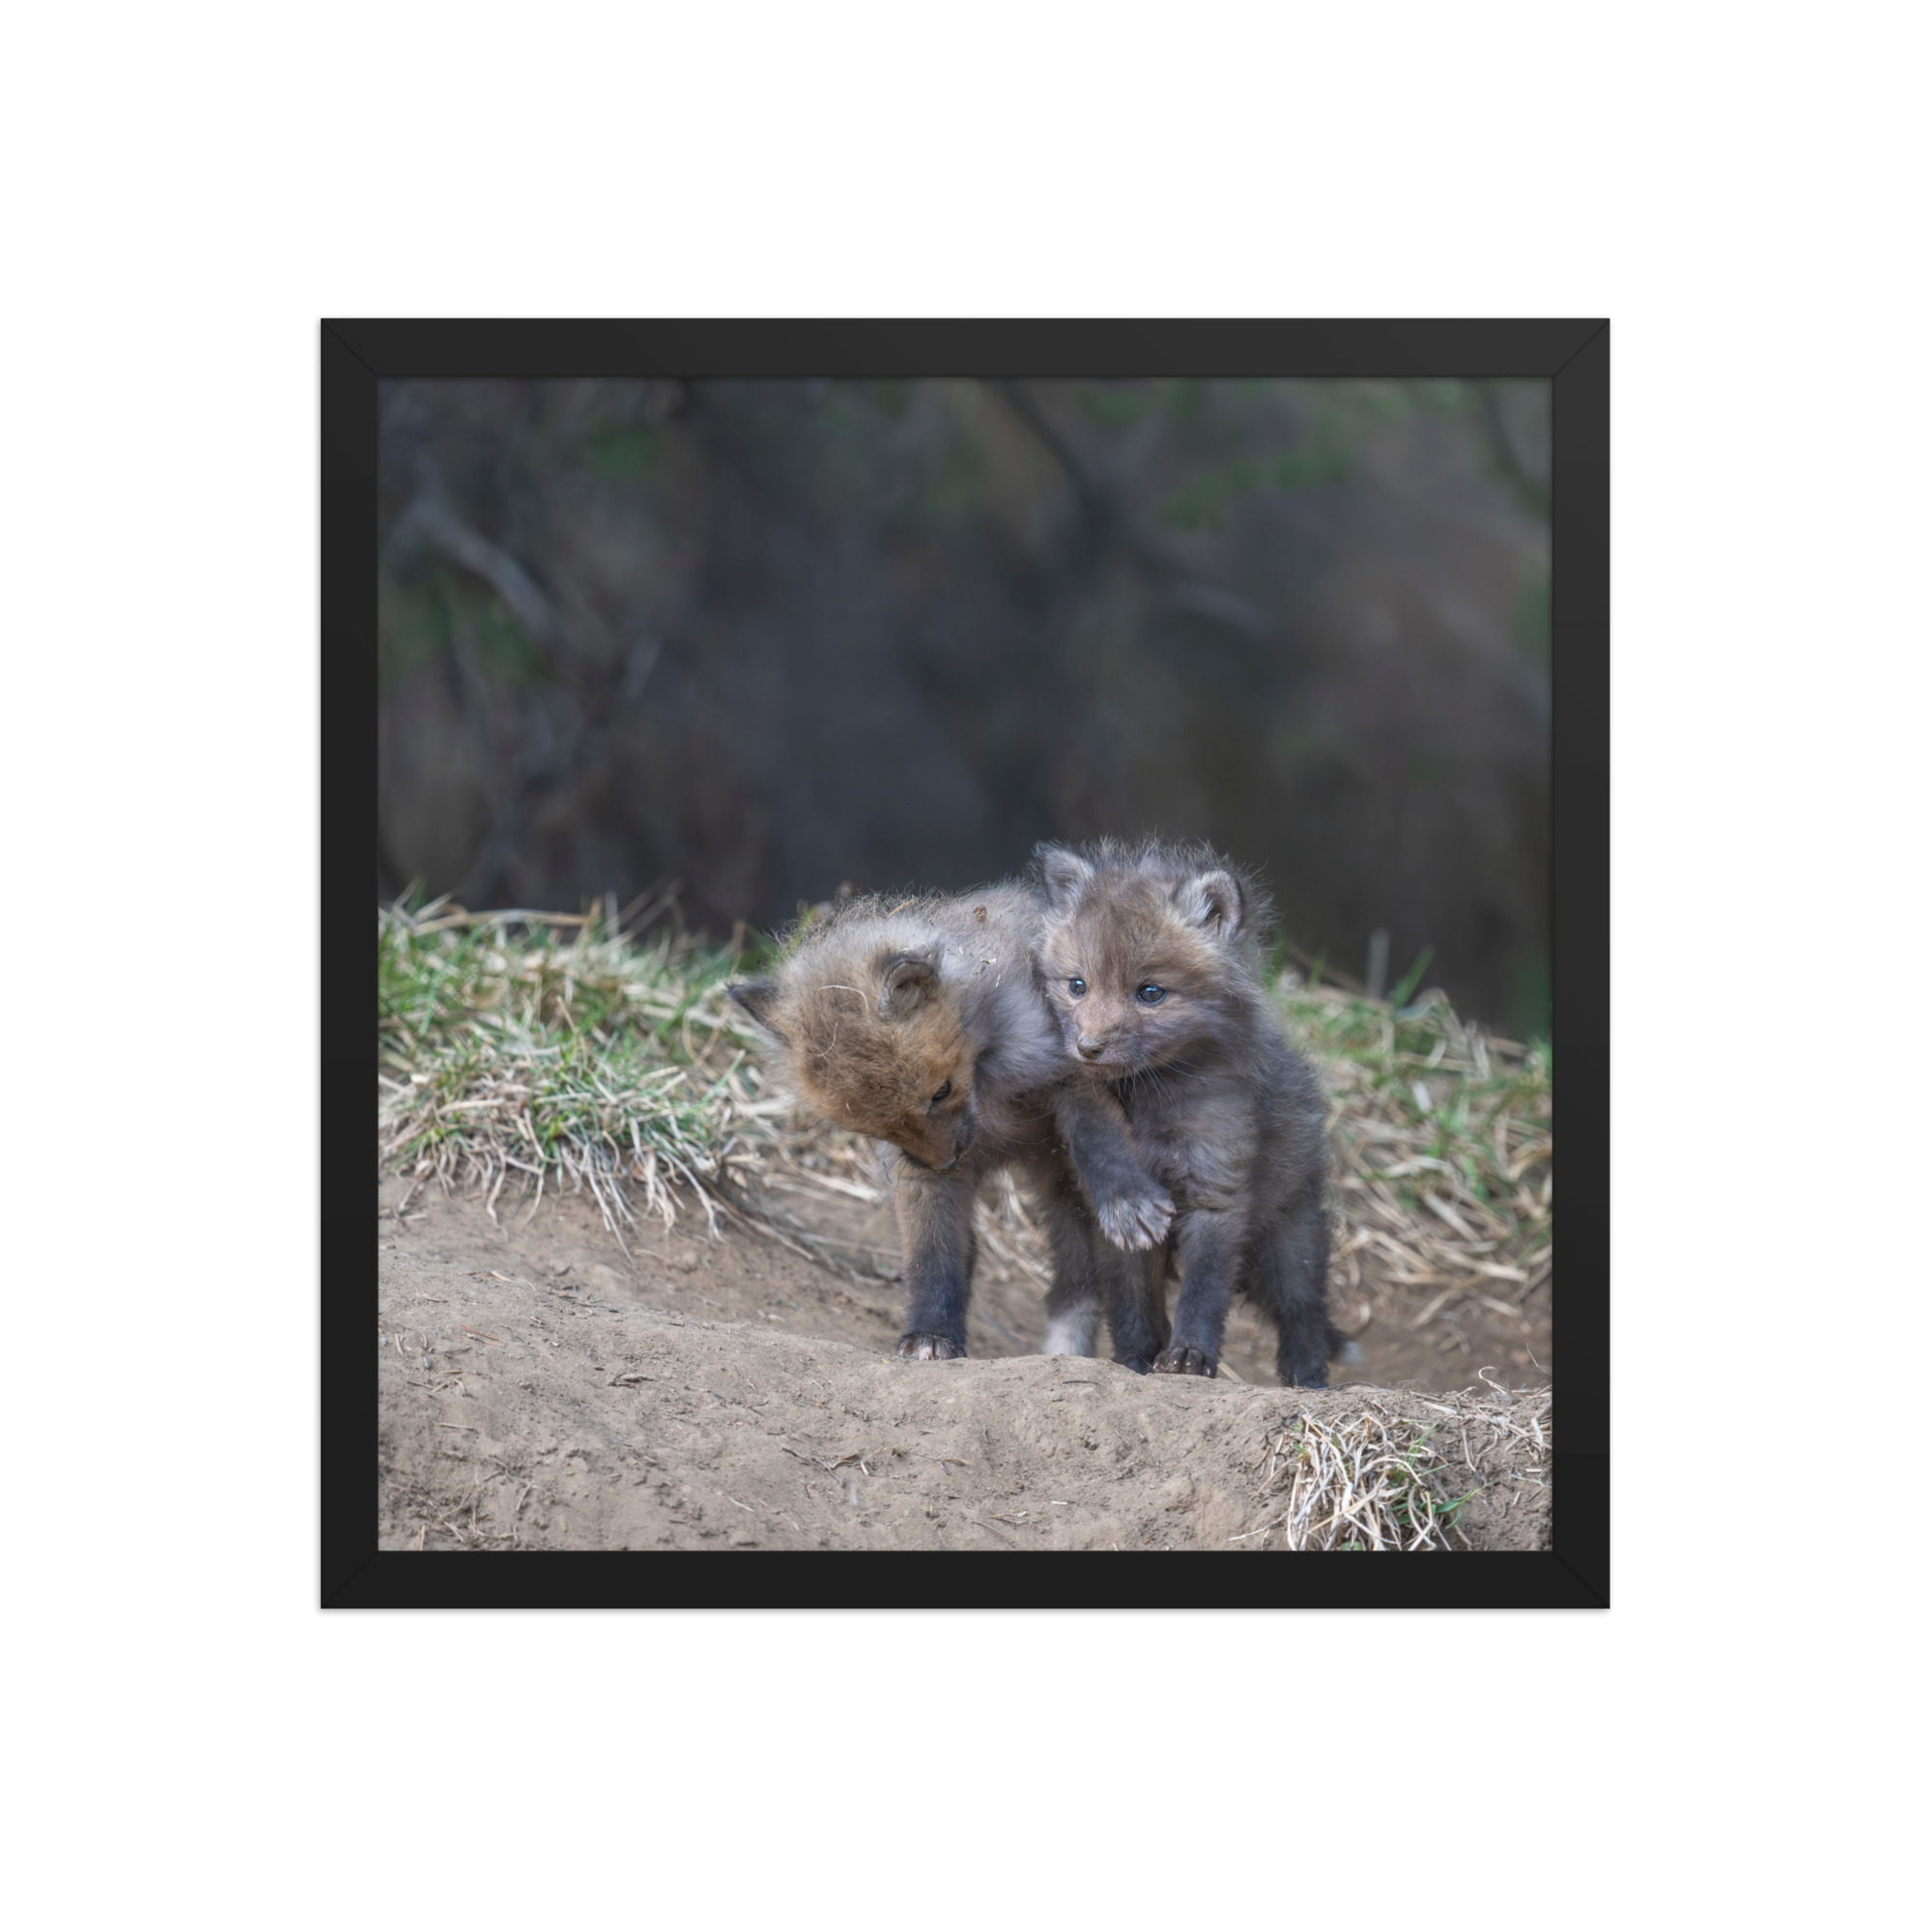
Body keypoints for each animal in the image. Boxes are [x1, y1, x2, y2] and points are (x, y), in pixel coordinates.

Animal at [727, 883, 1175, 1363]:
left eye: (940, 1092)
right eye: (874, 1128)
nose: (945, 1162)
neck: (987, 1084)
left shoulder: (1071, 1070)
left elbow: (1099, 1141)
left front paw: (1126, 1200)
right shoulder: (916, 1173)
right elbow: (932, 1256)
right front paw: (931, 1334)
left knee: (1123, 1286)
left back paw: (1139, 1357)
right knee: (1072, 1283)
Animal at [1031, 838, 1344, 1387]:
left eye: (1150, 993)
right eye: (1077, 986)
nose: (1088, 1048)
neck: (1148, 1105)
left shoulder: (1216, 1192)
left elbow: (1203, 1292)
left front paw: (1189, 1357)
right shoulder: (1119, 1216)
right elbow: (1132, 1301)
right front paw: (1135, 1360)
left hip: (1290, 1243)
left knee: (1303, 1313)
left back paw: (1306, 1381)